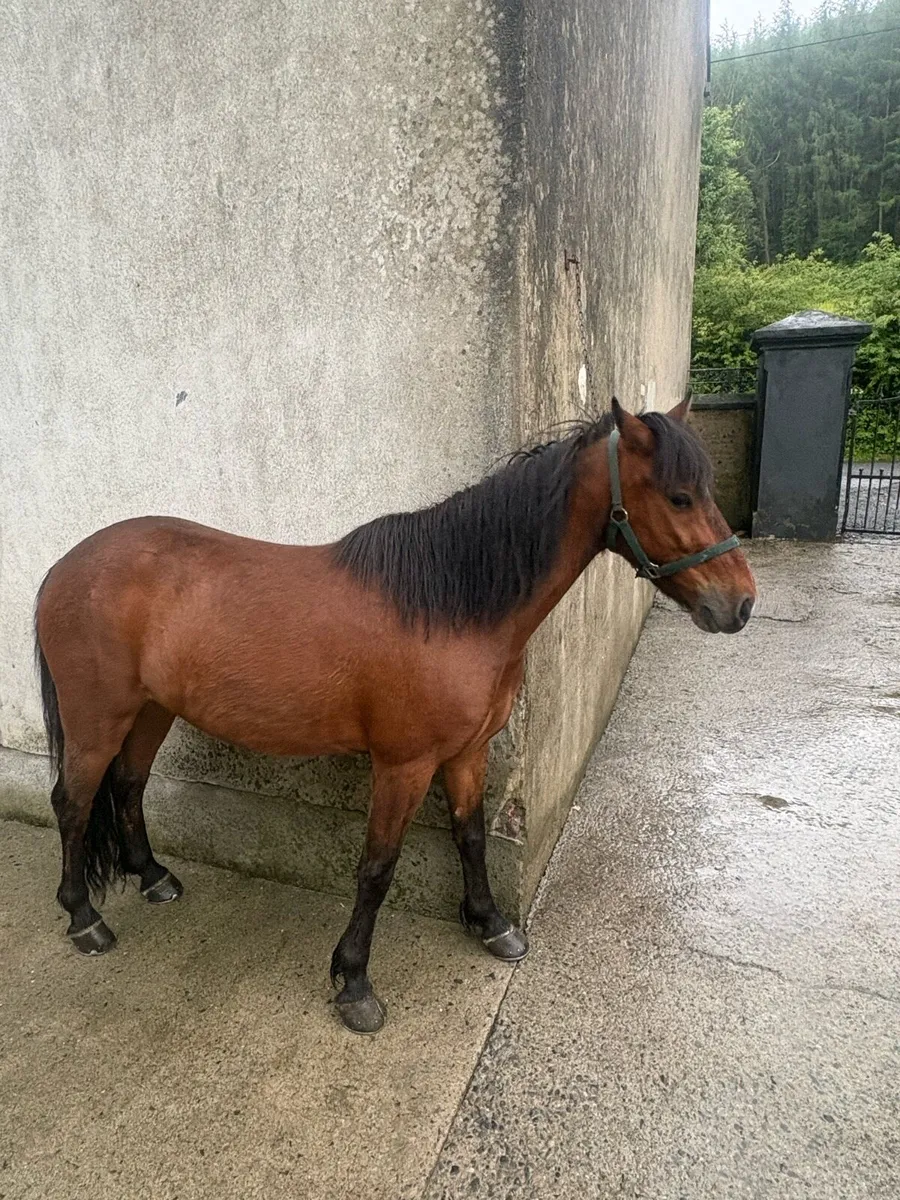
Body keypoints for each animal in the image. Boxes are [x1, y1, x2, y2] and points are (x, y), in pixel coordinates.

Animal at [33, 396, 756, 1033]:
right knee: (73, 801)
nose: (741, 603)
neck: (453, 605)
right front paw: (354, 983)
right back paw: (84, 919)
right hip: (96, 718)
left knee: (128, 785)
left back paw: (153, 877)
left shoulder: (467, 753)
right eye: (679, 496)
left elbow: (470, 834)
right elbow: (378, 868)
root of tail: (64, 567)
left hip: (150, 711)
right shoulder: (404, 765)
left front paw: (491, 924)